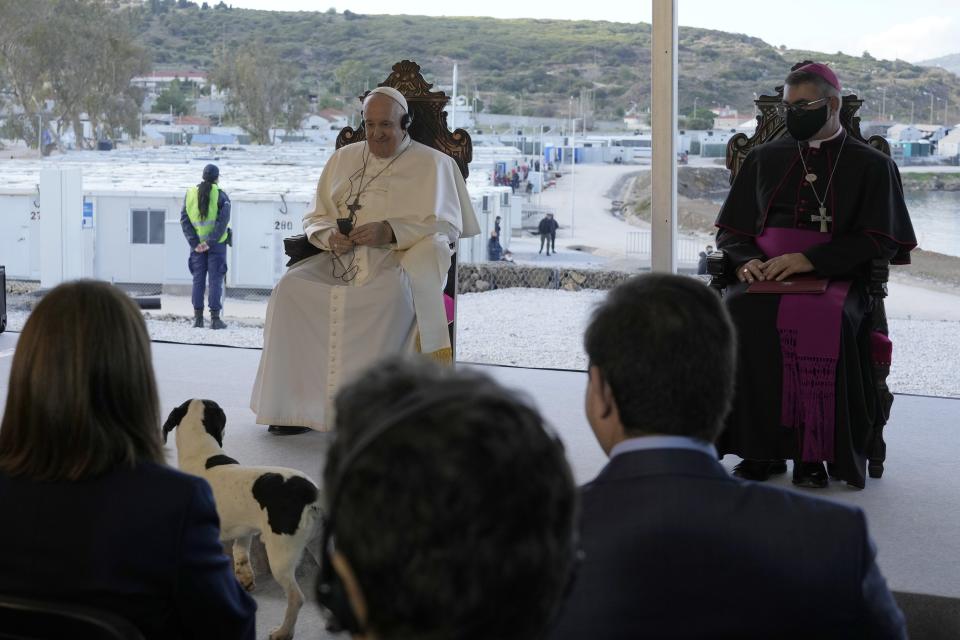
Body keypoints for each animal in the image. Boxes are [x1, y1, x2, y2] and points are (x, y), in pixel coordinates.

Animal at [163, 400, 324, 640]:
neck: (202, 456)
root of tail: (310, 491)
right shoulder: (244, 531)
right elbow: (240, 554)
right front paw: (245, 579)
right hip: (318, 545)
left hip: (281, 558)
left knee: (297, 598)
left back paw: (283, 631)